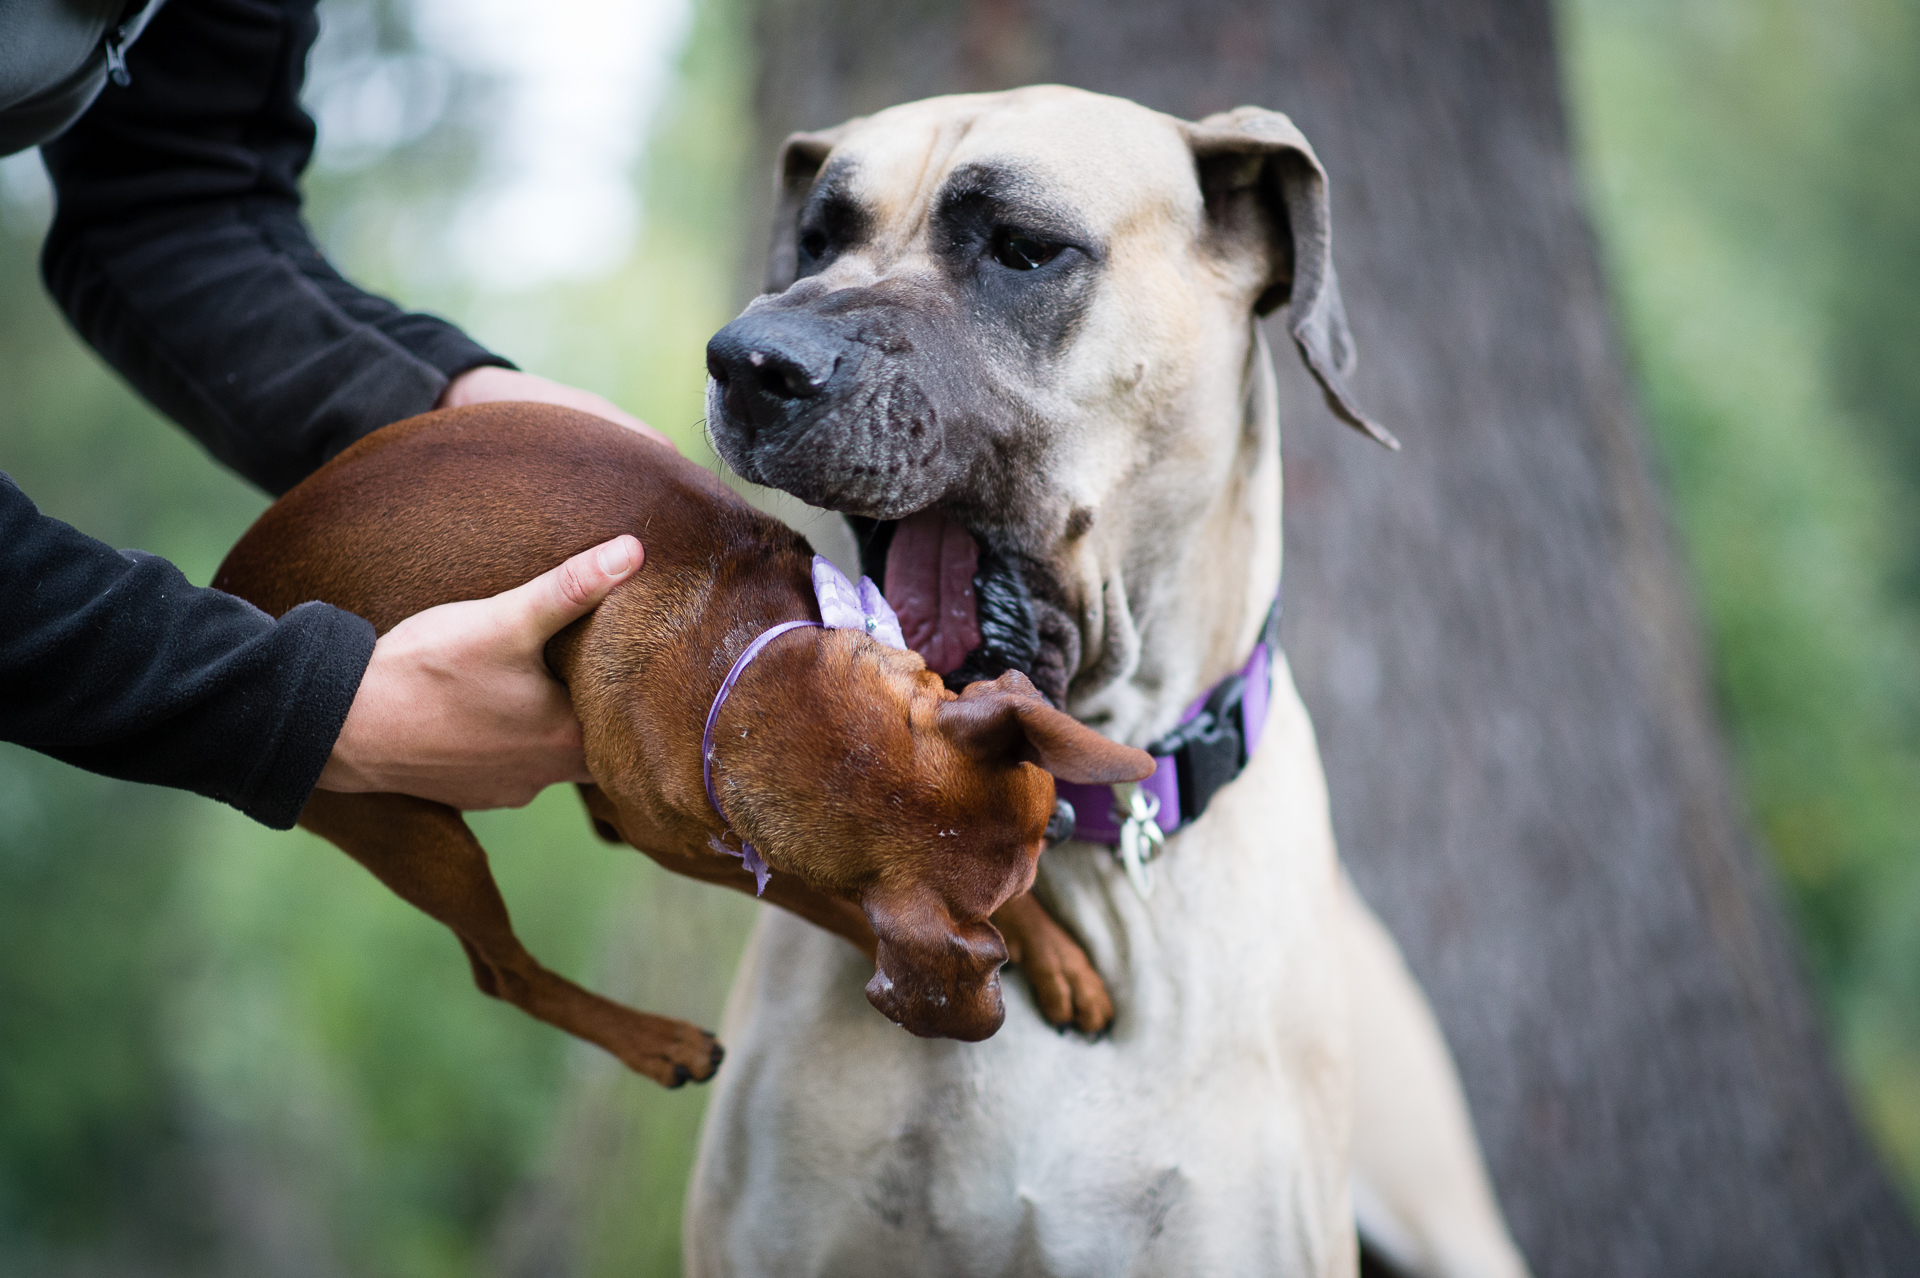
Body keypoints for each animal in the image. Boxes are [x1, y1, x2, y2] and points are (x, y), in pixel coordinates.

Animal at [217, 402, 1144, 1082]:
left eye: (1044, 817)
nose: (1070, 824)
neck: (742, 662)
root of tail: (233, 580)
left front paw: (1059, 958)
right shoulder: (699, 854)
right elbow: (841, 913)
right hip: (413, 833)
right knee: (503, 974)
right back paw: (654, 1043)